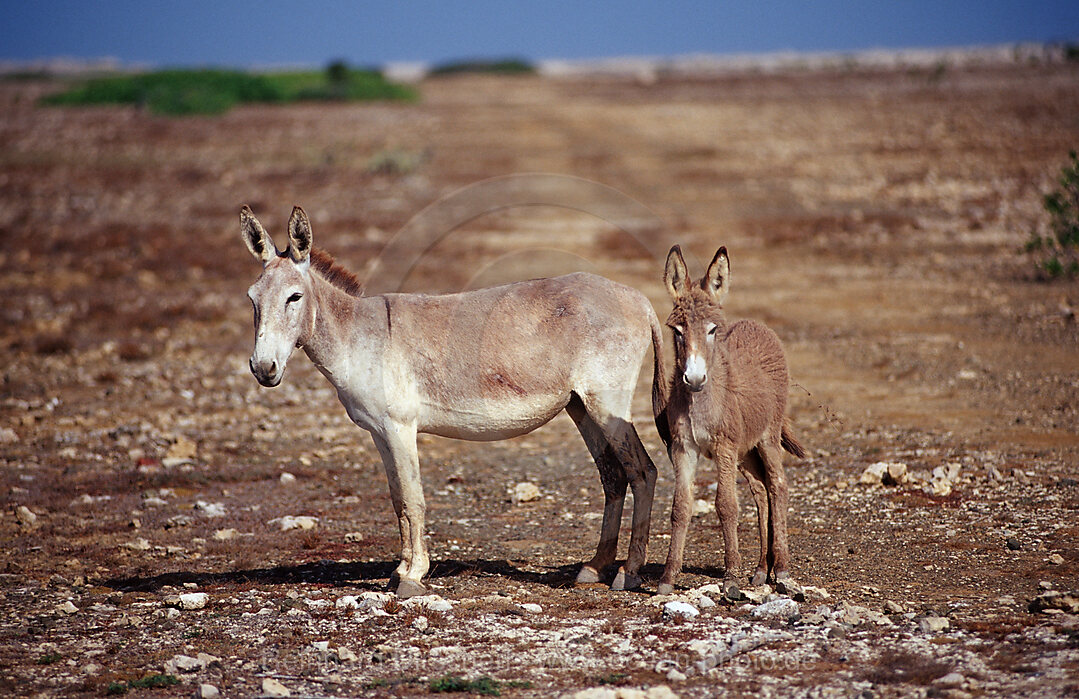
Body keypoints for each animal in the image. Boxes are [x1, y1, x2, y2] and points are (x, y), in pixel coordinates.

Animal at [651, 245, 807, 595]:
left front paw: (731, 574)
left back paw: (783, 570)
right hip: (746, 451)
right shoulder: (683, 449)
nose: (694, 379)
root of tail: (758, 325)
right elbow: (680, 508)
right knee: (761, 490)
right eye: (677, 331)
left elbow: (726, 505)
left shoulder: (723, 446)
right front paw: (668, 578)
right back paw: (762, 570)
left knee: (778, 485)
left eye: (712, 330)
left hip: (766, 437)